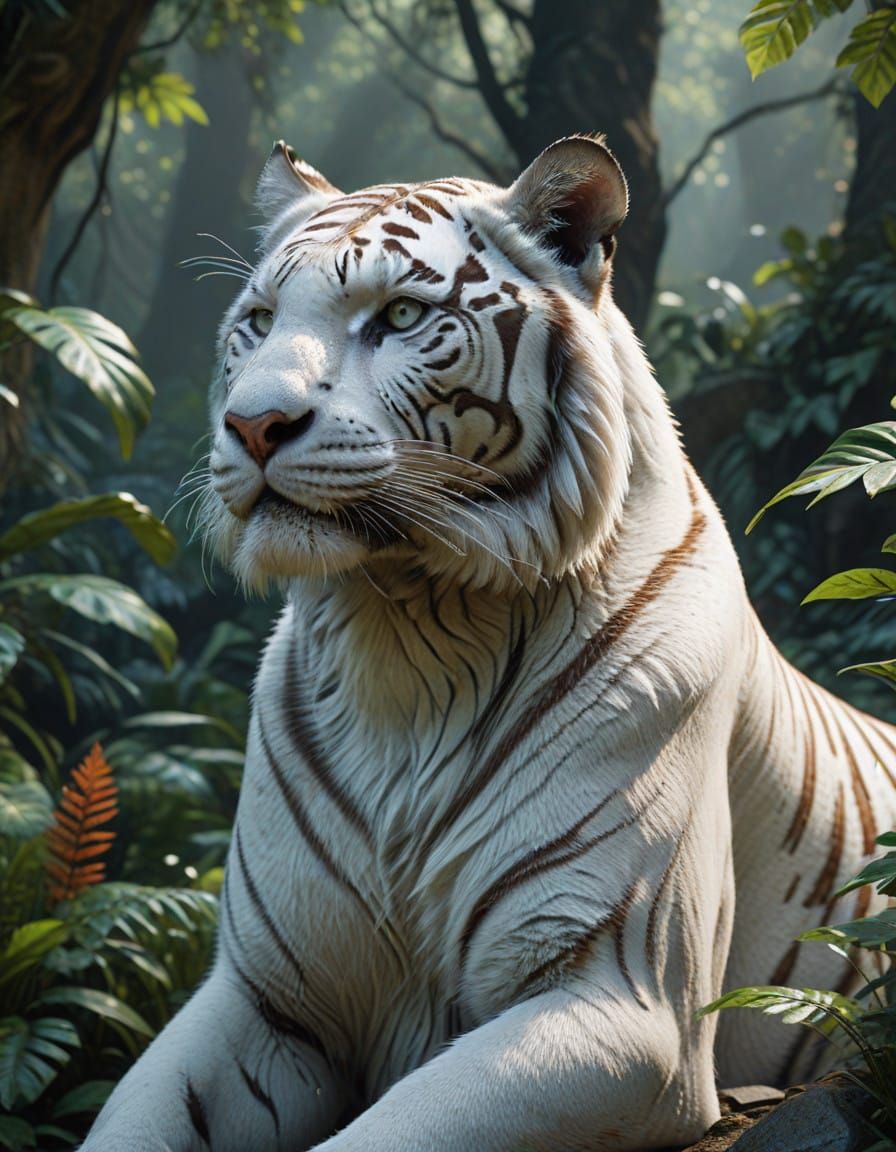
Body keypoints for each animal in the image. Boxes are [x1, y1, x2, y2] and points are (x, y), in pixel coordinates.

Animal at [81, 135, 896, 1152]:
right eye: (258, 323)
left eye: (398, 315)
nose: (253, 425)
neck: (402, 629)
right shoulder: (265, 998)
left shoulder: (624, 1000)